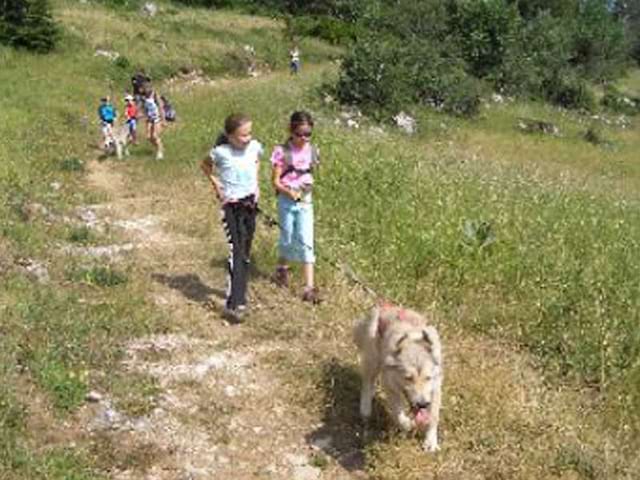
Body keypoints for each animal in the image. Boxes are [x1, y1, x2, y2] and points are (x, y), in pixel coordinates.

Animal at [352, 306, 442, 452]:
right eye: (408, 378)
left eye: (428, 378)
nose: (422, 404)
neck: (412, 340)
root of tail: (381, 307)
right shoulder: (389, 384)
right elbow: (397, 413)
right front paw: (408, 424)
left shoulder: (435, 387)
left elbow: (433, 416)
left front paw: (430, 442)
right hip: (373, 360)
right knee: (367, 382)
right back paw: (365, 410)